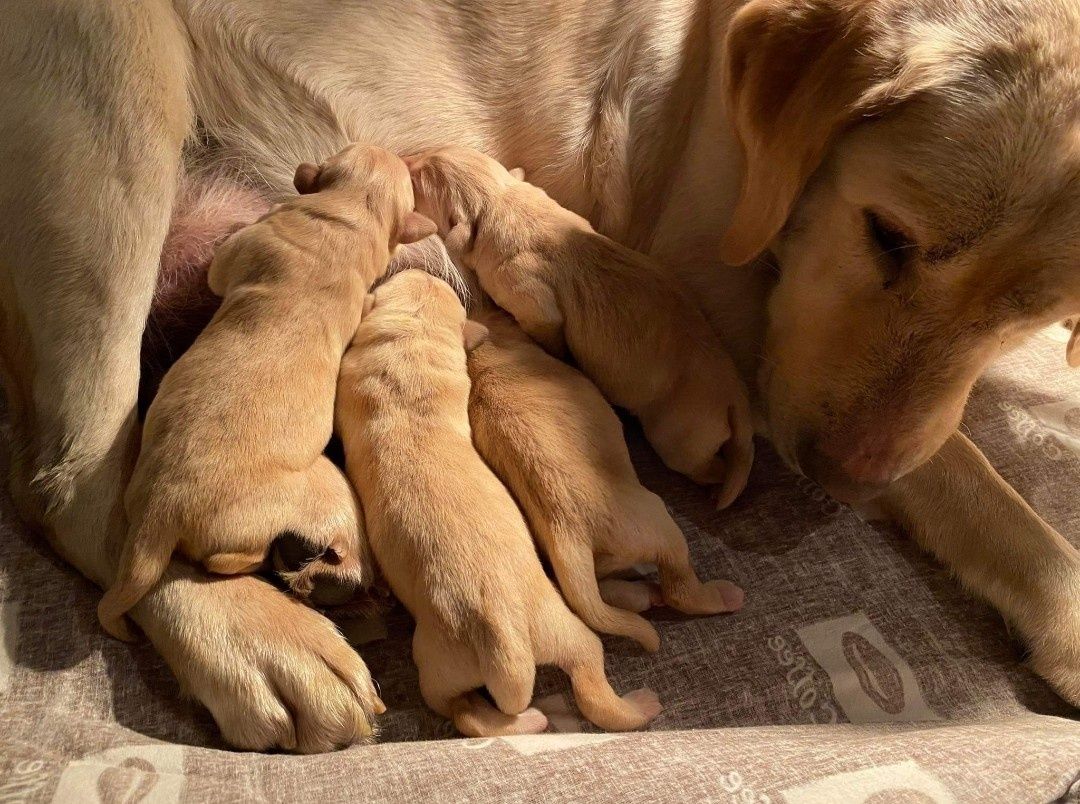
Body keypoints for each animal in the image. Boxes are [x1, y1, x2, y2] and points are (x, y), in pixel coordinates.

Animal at [97, 141, 434, 635]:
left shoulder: (234, 258)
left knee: (224, 560)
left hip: (253, 526)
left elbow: (222, 264)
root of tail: (158, 515)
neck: (349, 217)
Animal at [334, 273, 656, 739]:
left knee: (467, 712)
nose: (424, 272)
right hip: (558, 635)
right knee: (582, 683)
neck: (407, 359)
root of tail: (508, 646)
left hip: (447, 664)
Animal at [408, 144, 756, 507]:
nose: (404, 159)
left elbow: (547, 329)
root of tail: (736, 397)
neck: (501, 202)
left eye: (419, 178)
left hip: (680, 438)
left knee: (704, 466)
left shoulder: (530, 298)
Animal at [468, 306, 747, 652]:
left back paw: (643, 595)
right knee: (680, 589)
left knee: (604, 592)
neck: (483, 355)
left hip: (593, 564)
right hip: (658, 525)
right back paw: (723, 595)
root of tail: (572, 537)